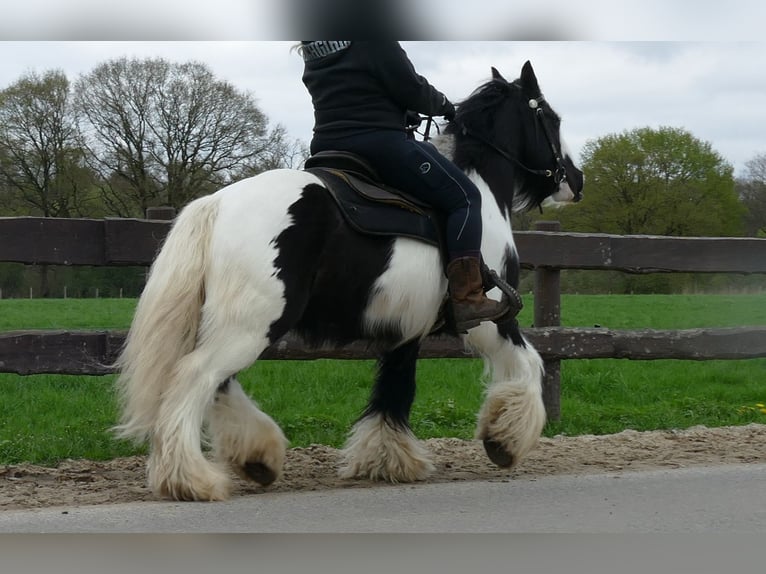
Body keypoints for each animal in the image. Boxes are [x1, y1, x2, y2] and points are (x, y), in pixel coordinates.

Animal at [112, 57, 584, 500]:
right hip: (250, 326)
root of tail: (217, 203)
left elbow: (395, 390)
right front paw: (504, 441)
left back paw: (257, 458)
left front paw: (388, 460)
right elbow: (530, 364)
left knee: (217, 385)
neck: (479, 191)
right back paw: (190, 479)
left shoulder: (405, 330)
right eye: (551, 119)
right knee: (193, 380)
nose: (576, 181)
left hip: (235, 325)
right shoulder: (489, 320)